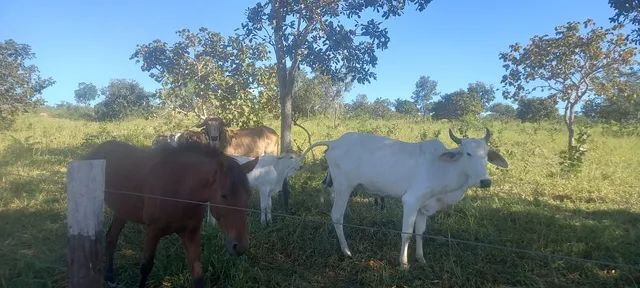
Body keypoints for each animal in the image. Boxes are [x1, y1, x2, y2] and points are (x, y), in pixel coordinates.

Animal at [86, 141, 258, 286]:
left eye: (248, 194)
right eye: (224, 195)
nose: (240, 246)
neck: (180, 190)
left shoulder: (191, 233)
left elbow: (198, 274)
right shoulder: (153, 230)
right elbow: (145, 267)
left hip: (122, 211)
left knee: (111, 237)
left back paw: (109, 276)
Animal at [302, 128, 508, 268]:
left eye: (486, 155)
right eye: (468, 153)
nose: (485, 181)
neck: (443, 167)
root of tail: (335, 142)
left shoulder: (424, 206)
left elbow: (420, 232)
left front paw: (421, 258)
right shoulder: (411, 201)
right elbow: (407, 234)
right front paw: (404, 263)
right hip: (344, 187)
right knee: (337, 216)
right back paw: (346, 251)